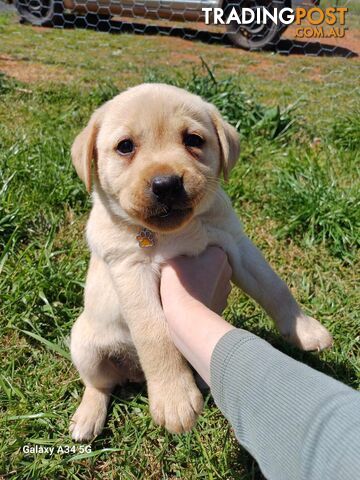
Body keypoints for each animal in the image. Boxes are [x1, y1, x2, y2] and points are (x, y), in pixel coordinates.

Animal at [69, 82, 334, 442]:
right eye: (125, 147)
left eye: (193, 140)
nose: (166, 184)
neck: (174, 232)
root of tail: (134, 374)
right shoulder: (129, 270)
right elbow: (155, 334)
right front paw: (174, 399)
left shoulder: (236, 244)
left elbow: (274, 287)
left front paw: (305, 329)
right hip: (84, 343)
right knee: (99, 385)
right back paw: (88, 417)